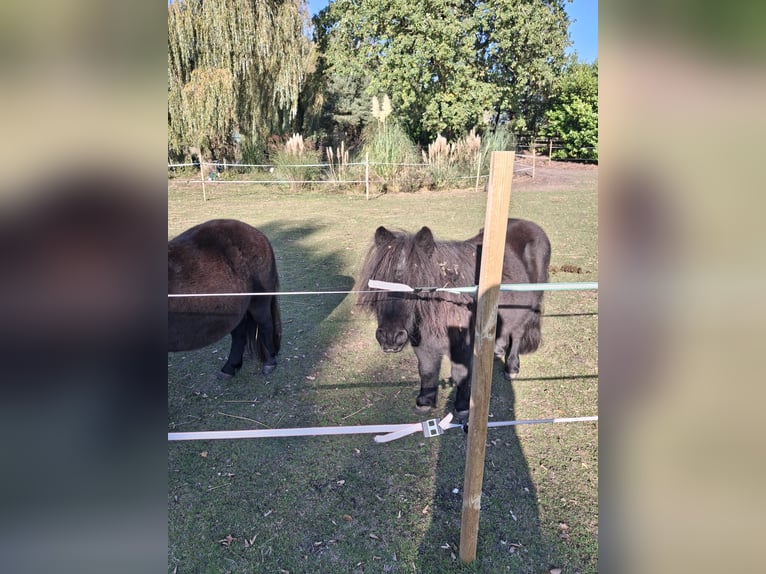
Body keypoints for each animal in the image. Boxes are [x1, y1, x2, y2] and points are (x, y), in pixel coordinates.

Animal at [168, 219, 282, 377]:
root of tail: (259, 235)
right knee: (239, 334)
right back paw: (229, 368)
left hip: (259, 302)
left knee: (265, 325)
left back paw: (269, 363)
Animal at [356, 219, 550, 415]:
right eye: (376, 284)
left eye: (417, 286)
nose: (390, 337)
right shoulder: (423, 344)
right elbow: (426, 371)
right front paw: (425, 402)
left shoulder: (463, 347)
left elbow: (461, 374)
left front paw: (463, 406)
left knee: (517, 334)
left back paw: (511, 367)